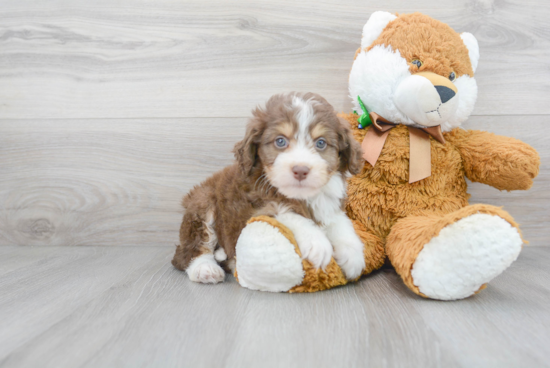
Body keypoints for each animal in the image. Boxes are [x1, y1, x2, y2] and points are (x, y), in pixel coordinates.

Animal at [172, 92, 368, 284]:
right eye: (280, 141)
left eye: (321, 143)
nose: (300, 170)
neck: (300, 196)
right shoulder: (255, 207)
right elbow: (288, 214)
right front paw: (317, 243)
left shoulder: (329, 204)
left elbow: (340, 222)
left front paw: (353, 254)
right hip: (202, 202)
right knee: (190, 250)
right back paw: (205, 269)